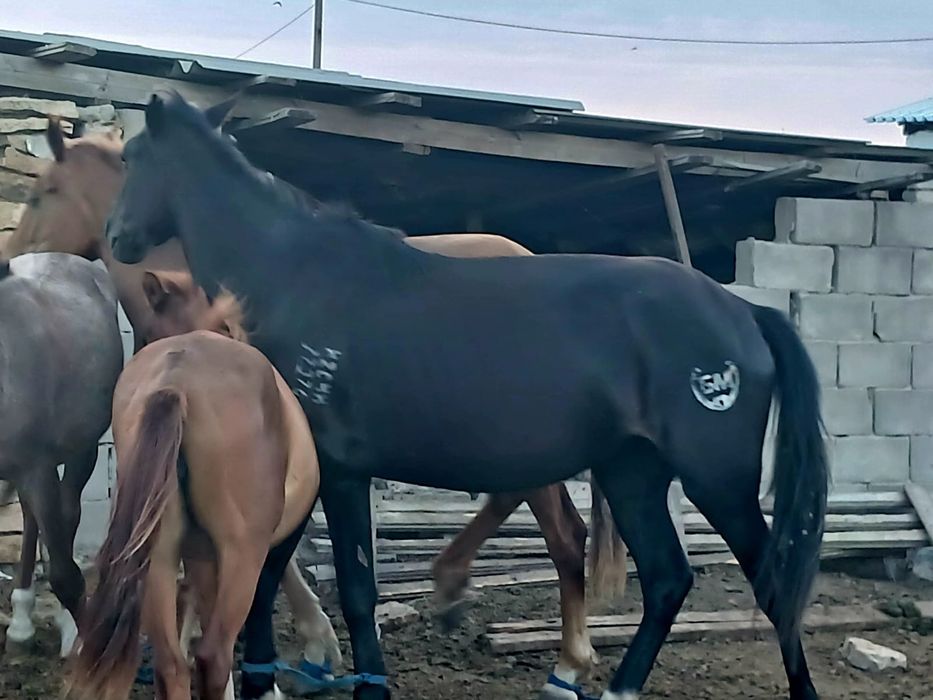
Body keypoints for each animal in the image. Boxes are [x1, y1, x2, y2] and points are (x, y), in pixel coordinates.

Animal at [66, 268, 331, 700]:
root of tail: (177, 382)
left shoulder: (199, 557)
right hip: (241, 554)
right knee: (214, 656)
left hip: (157, 555)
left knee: (172, 664)